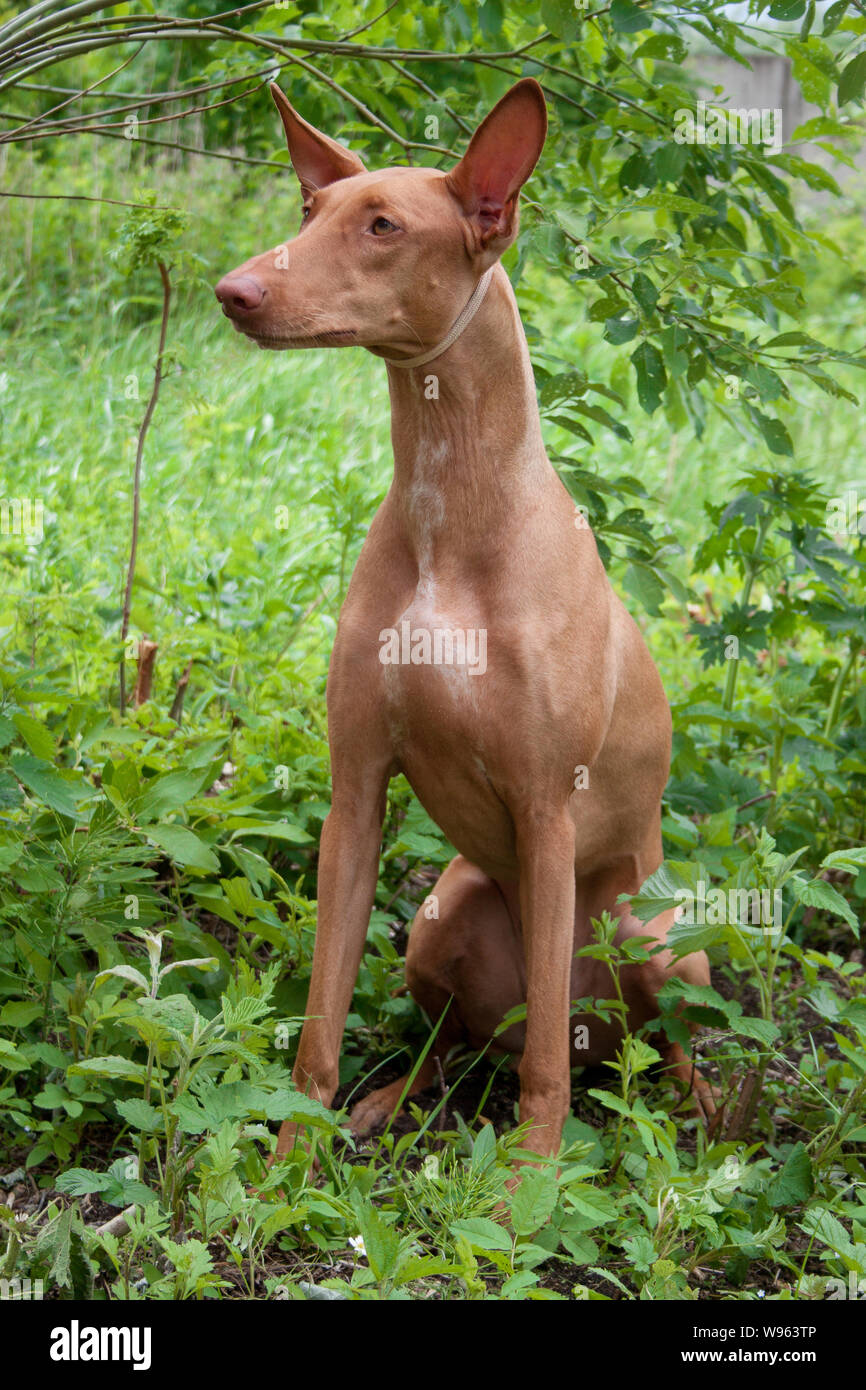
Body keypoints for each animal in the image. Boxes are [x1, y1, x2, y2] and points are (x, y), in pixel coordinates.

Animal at [214, 78, 717, 1162]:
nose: (233, 290)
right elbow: (317, 1029)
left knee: (633, 1044)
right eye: (308, 210)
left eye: (383, 226)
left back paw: (703, 1108)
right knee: (454, 1039)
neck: (449, 505)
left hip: (654, 939)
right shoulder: (355, 792)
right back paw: (388, 1101)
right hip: (446, 908)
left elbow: (541, 1081)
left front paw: (531, 1177)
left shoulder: (546, 808)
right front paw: (287, 1161)